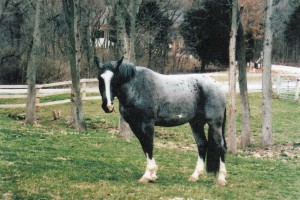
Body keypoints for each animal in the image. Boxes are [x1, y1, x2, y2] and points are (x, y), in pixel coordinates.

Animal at [95, 57, 226, 185]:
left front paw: (148, 175)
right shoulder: (134, 125)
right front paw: (153, 175)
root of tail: (218, 87)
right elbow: (144, 146)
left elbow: (149, 145)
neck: (137, 87)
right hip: (196, 123)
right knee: (202, 144)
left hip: (215, 124)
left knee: (221, 146)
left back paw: (221, 179)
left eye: (115, 78)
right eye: (100, 78)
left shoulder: (147, 124)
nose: (107, 106)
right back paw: (195, 176)